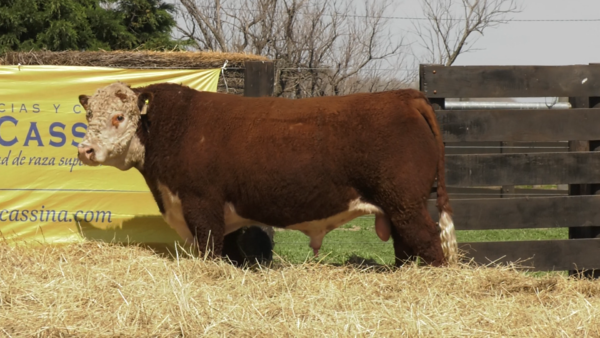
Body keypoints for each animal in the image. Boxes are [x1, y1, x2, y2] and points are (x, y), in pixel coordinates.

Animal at [77, 82, 458, 266]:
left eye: (119, 117)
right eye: (89, 114)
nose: (85, 150)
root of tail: (405, 96)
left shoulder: (202, 204)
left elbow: (210, 248)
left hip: (406, 203)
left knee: (428, 241)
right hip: (397, 208)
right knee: (405, 245)